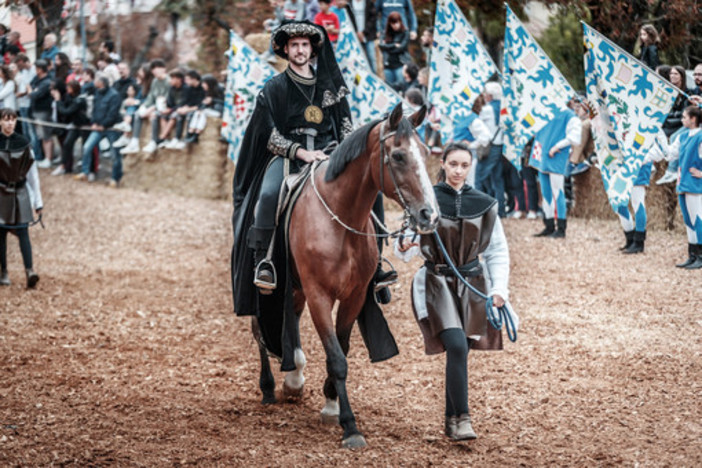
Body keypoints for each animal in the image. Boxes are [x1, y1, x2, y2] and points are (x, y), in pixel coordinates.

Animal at [256, 103, 438, 450]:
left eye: (425, 152)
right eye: (398, 156)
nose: (429, 215)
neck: (339, 218)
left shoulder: (354, 296)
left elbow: (341, 350)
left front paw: (330, 404)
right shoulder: (319, 296)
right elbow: (337, 358)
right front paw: (350, 426)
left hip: (296, 288)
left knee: (290, 320)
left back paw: (294, 379)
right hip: (267, 287)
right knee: (259, 328)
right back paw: (269, 386)